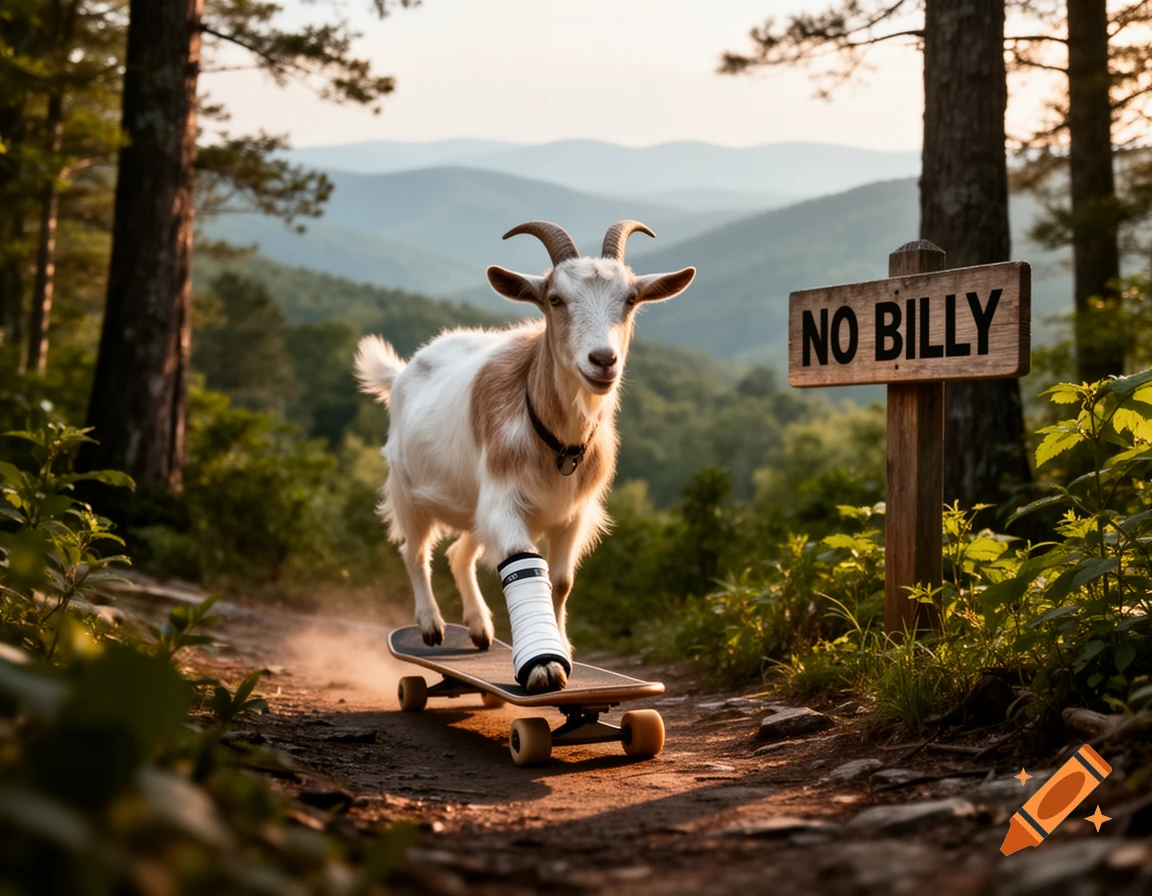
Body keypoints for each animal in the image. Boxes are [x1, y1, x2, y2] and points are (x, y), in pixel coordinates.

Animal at [355, 220, 695, 693]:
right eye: (555, 299)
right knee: (414, 551)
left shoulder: (573, 514)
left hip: (473, 507)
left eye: (630, 300)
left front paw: (562, 648)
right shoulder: (505, 502)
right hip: (409, 490)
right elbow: (523, 566)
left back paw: (479, 628)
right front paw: (541, 665)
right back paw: (431, 626)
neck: (559, 443)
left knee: (458, 553)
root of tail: (403, 370)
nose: (603, 360)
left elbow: (561, 581)